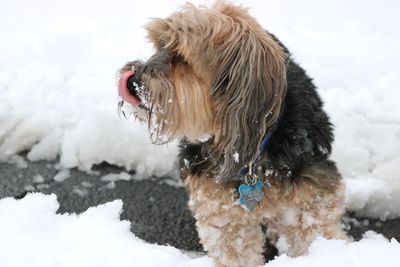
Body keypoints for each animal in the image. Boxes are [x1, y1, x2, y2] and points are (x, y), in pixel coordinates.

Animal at [116, 1, 346, 266]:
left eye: (181, 57)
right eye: (158, 46)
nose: (131, 81)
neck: (253, 150)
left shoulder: (311, 194)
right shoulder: (222, 208)